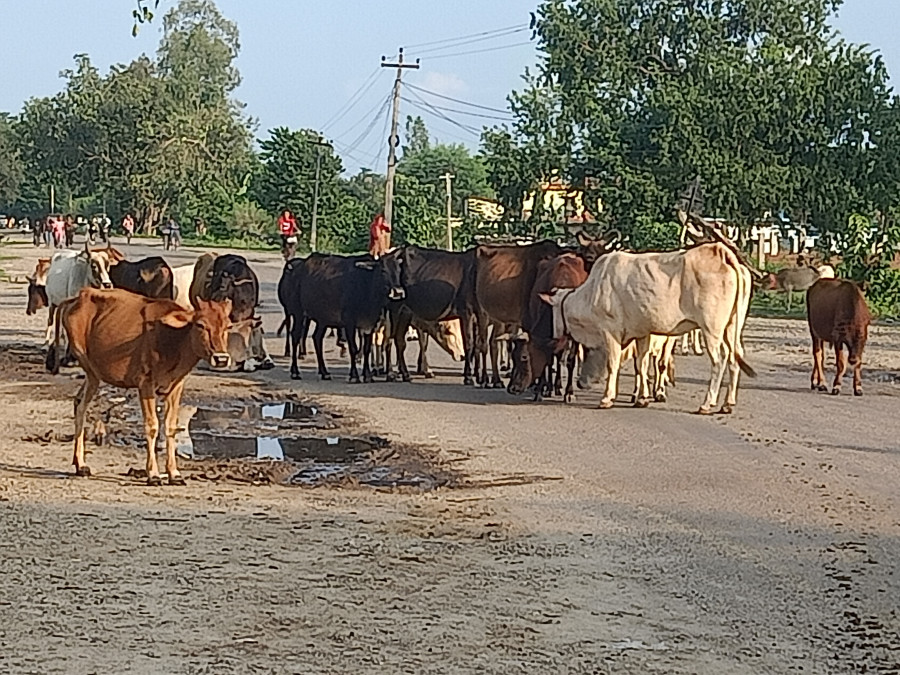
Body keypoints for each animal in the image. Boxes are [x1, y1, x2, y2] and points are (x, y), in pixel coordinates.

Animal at [46, 288, 233, 485]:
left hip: (93, 376)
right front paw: (153, 474)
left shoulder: (176, 386)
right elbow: (152, 426)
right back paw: (81, 464)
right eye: (200, 325)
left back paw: (78, 463)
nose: (221, 358)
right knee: (82, 407)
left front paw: (174, 473)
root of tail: (78, 297)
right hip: (91, 372)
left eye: (228, 326)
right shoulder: (145, 384)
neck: (172, 339)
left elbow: (170, 426)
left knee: (77, 401)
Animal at [541, 243, 755, 413]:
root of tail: (721, 252)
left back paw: (706, 404)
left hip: (712, 329)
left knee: (719, 361)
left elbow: (613, 364)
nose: (554, 337)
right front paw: (642, 398)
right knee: (734, 357)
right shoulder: (642, 333)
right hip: (732, 326)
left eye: (553, 312)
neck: (592, 290)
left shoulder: (611, 332)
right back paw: (727, 404)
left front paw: (607, 398)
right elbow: (641, 364)